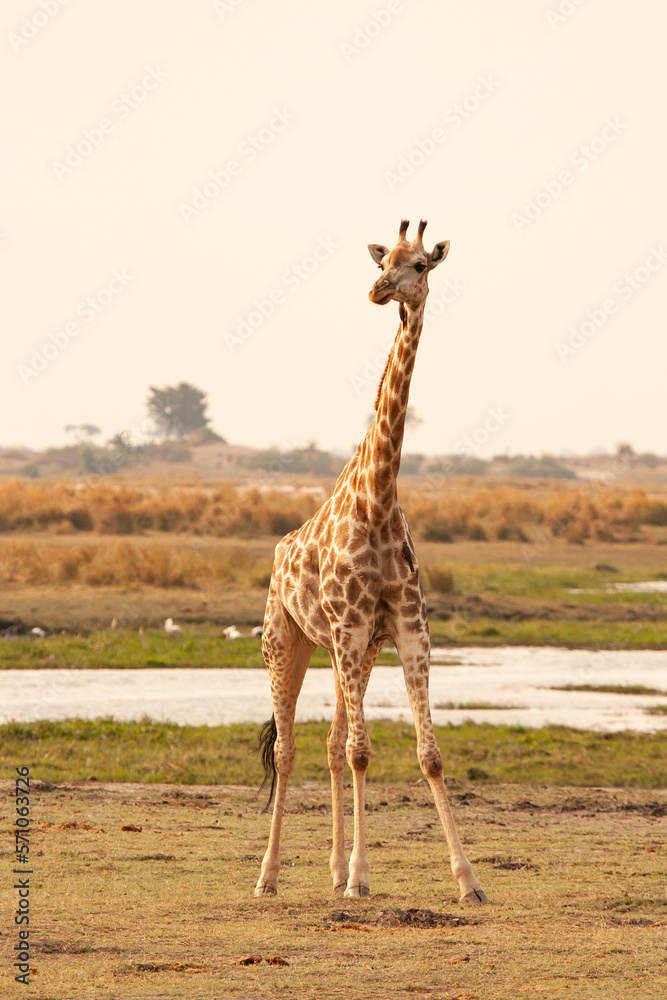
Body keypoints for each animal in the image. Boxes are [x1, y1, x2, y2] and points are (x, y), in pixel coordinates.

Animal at [254, 219, 487, 905]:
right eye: (383, 261)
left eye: (420, 265)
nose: (379, 291)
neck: (378, 497)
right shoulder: (354, 630)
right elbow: (362, 751)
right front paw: (362, 876)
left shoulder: (407, 631)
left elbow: (428, 754)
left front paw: (468, 880)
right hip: (287, 641)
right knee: (292, 749)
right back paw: (269, 876)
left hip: (337, 652)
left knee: (330, 744)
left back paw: (330, 870)